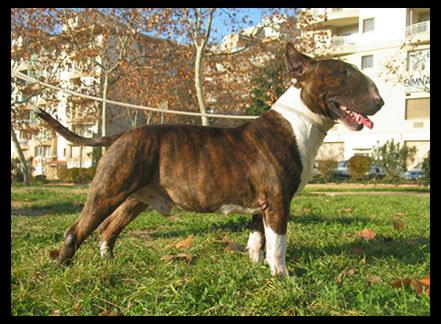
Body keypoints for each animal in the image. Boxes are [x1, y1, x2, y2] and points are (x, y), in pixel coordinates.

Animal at [33, 41, 382, 278]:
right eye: (343, 72)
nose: (379, 101)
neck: (299, 122)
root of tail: (119, 136)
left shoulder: (262, 205)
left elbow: (258, 241)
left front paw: (257, 269)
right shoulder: (278, 201)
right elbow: (278, 244)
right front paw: (283, 277)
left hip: (136, 198)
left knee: (108, 229)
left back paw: (108, 263)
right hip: (108, 191)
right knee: (77, 230)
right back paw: (60, 269)